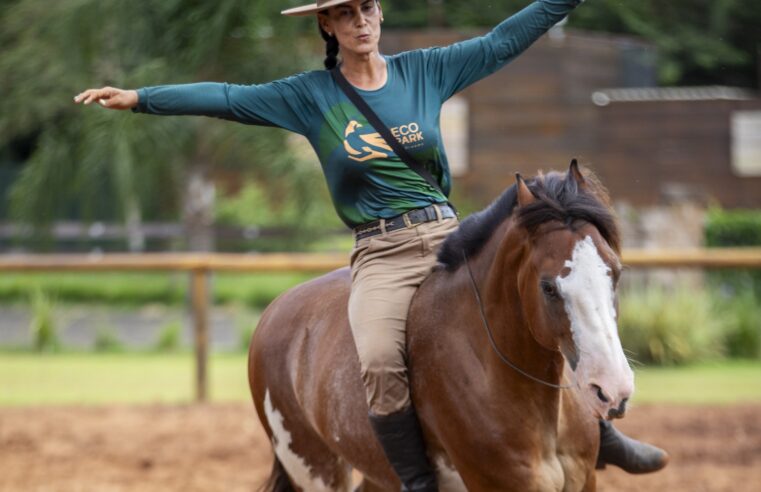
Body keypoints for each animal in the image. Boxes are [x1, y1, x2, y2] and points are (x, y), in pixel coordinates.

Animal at [248, 160, 628, 490]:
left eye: (615, 271)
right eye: (548, 286)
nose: (612, 390)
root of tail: (275, 310)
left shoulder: (583, 480)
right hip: (311, 465)